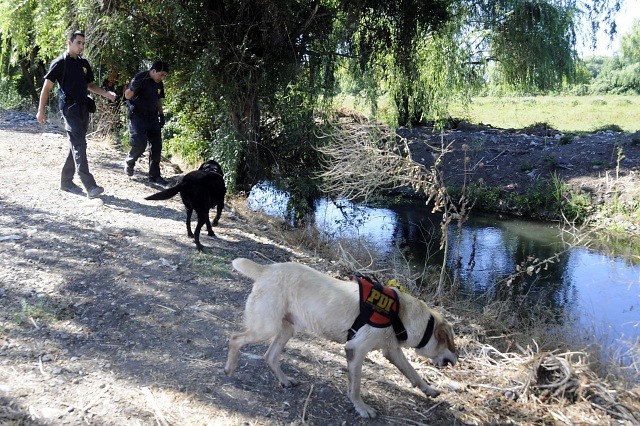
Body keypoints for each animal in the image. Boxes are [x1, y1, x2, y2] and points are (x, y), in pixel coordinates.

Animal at [224, 258, 456, 418]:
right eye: (451, 344)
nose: (456, 360)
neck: (400, 314)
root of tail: (266, 269)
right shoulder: (356, 349)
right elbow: (356, 386)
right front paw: (361, 408)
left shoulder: (392, 350)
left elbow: (412, 372)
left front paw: (429, 389)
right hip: (266, 327)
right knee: (235, 339)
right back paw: (230, 368)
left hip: (286, 329)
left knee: (270, 356)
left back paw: (284, 380)